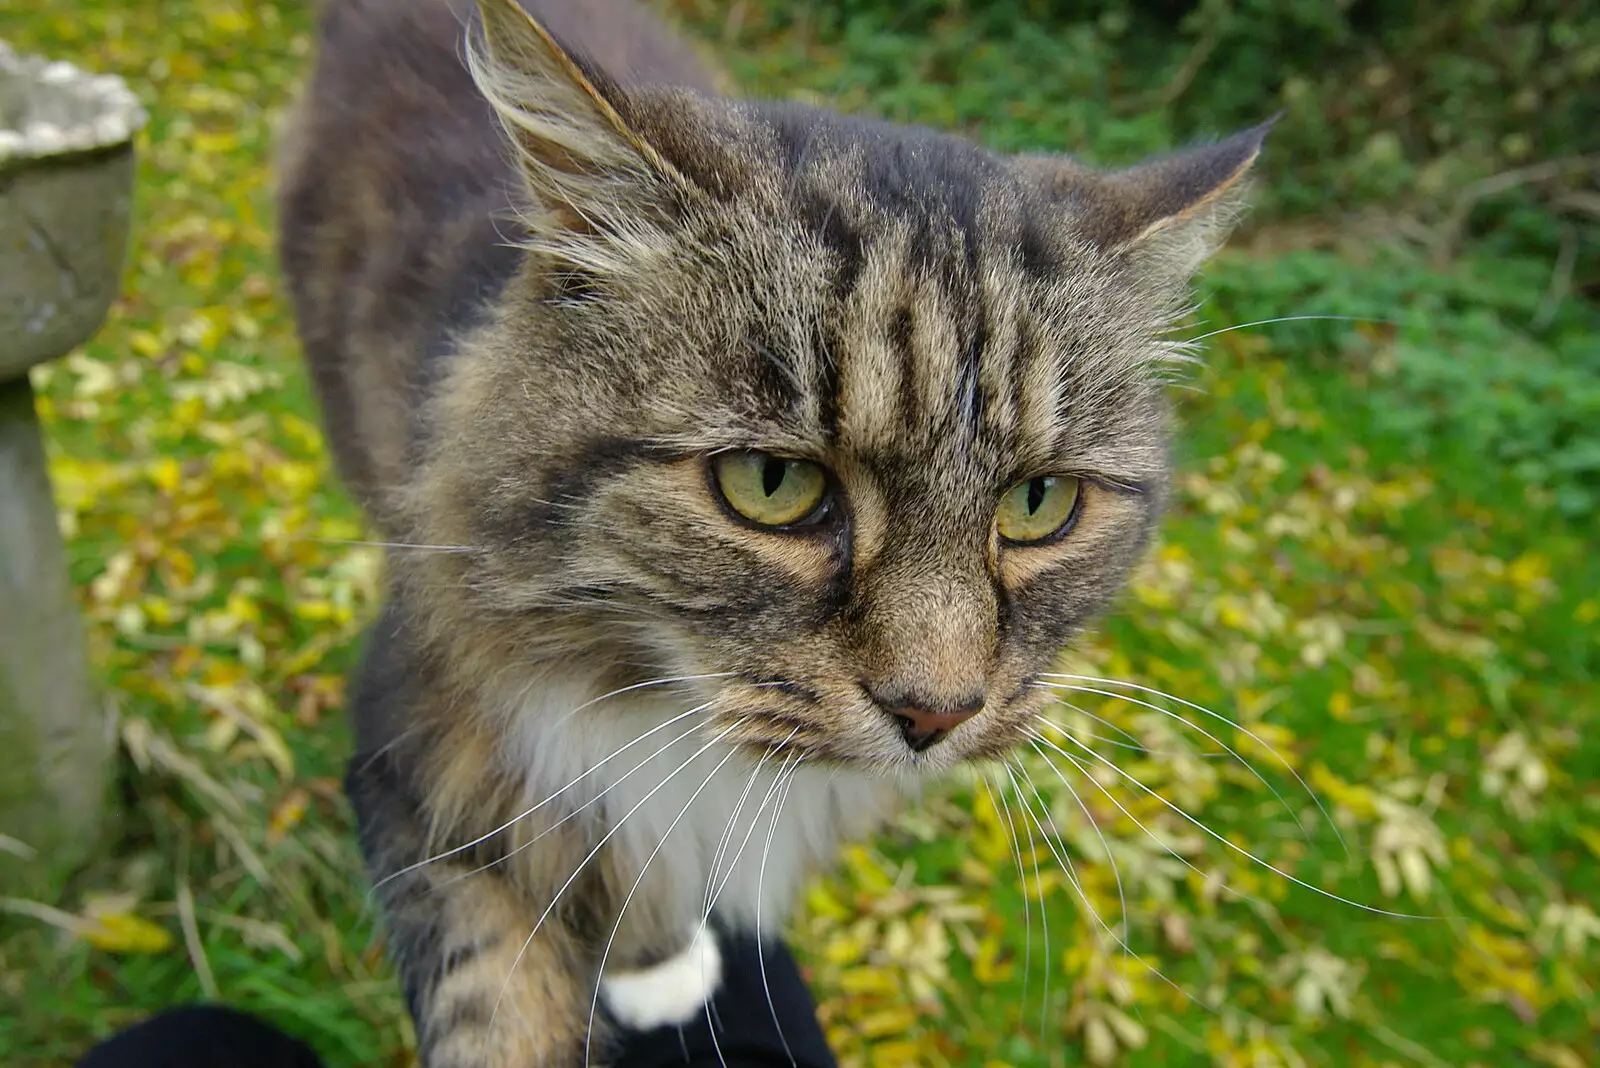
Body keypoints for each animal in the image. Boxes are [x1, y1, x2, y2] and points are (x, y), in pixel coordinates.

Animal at [278, 0, 1273, 1061]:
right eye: (772, 484)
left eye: (1039, 503)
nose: (936, 715)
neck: (675, 715)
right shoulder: (412, 760)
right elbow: (496, 999)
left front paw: (661, 962)